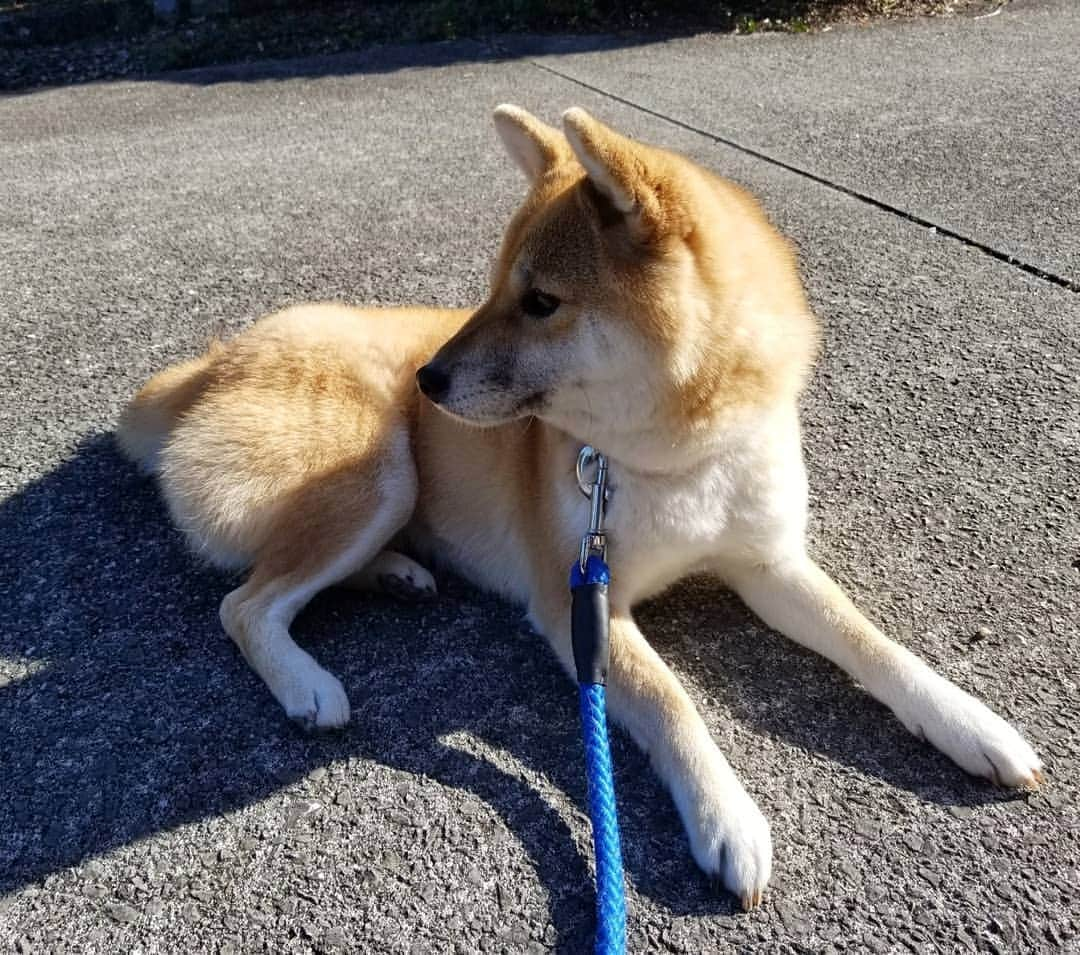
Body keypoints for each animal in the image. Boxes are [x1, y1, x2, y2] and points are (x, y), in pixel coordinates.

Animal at [116, 106, 1036, 911]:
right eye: (492, 285)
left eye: (541, 301)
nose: (430, 379)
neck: (674, 461)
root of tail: (217, 359)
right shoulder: (579, 603)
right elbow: (672, 699)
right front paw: (727, 815)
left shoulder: (768, 563)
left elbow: (871, 642)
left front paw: (968, 721)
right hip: (379, 473)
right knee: (246, 602)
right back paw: (307, 681)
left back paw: (398, 572)